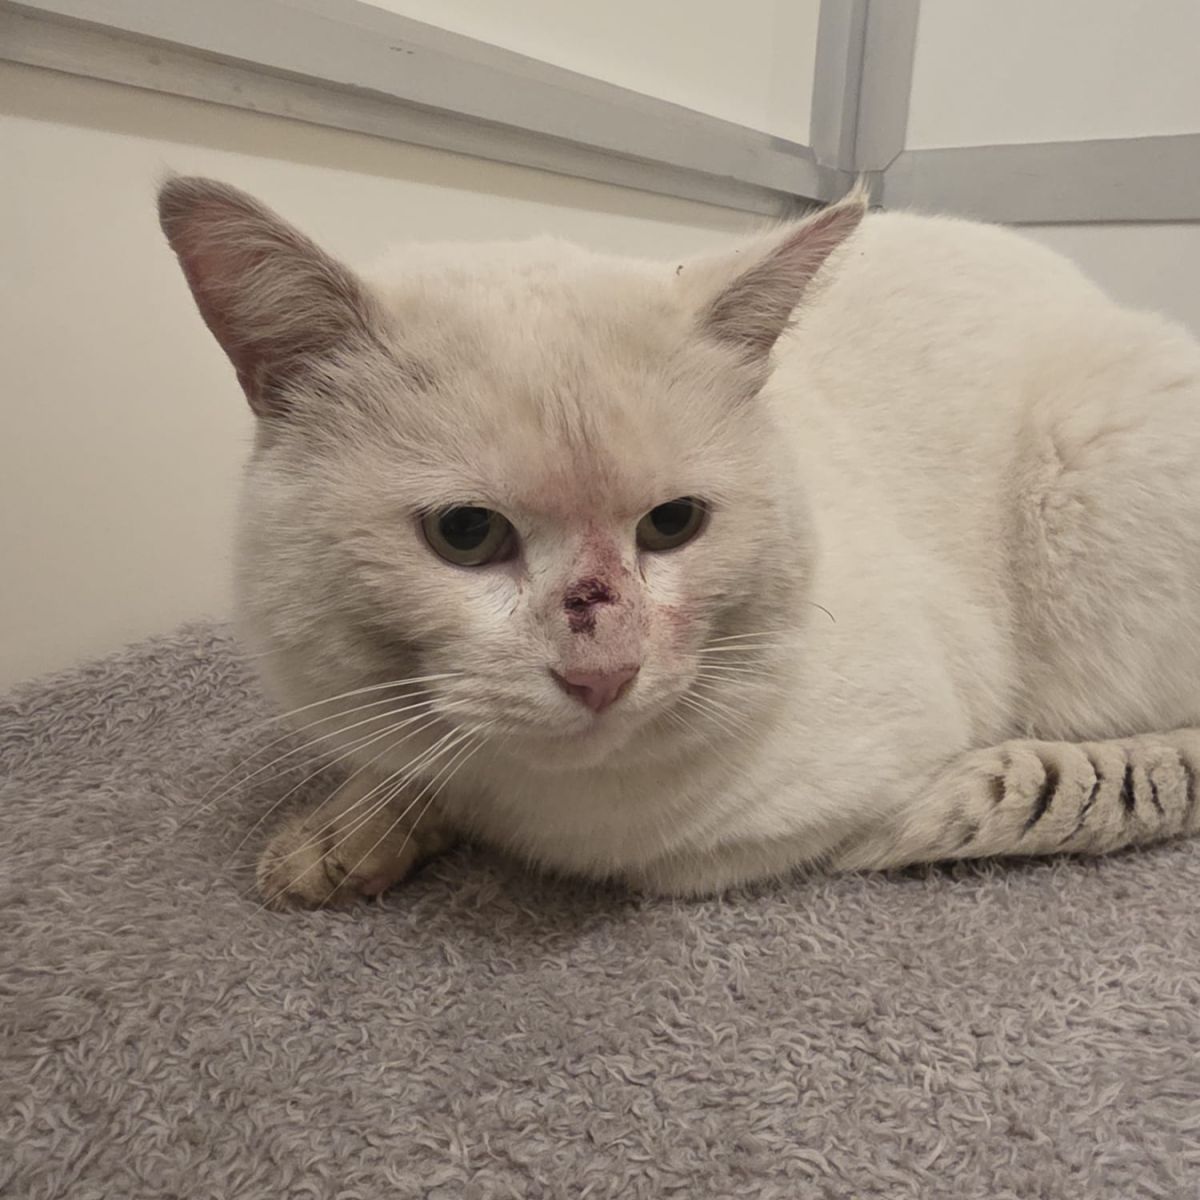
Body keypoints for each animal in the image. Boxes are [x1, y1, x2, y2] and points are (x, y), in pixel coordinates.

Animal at [158, 176, 1200, 907]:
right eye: (465, 534)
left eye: (672, 524)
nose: (602, 676)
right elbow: (403, 771)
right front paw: (341, 841)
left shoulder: (778, 822)